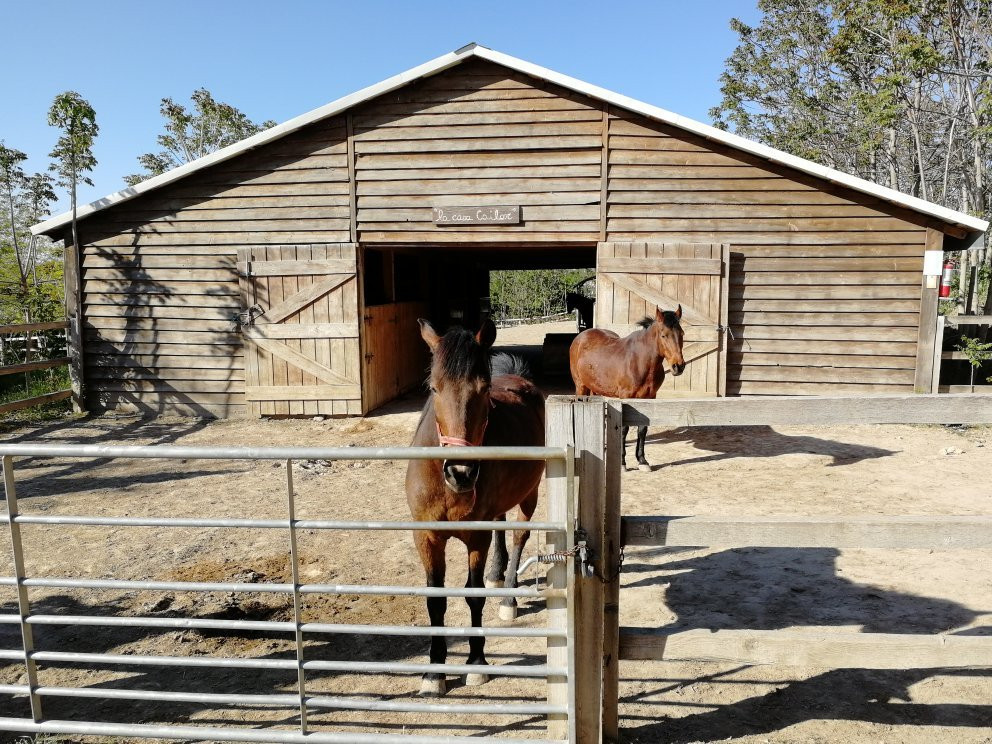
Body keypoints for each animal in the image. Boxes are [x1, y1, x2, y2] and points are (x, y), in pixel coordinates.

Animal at [404, 318, 548, 696]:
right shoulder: (427, 537)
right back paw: (499, 574)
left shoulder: (475, 539)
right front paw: (434, 672)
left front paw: (476, 662)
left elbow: (473, 595)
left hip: (530, 495)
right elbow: (435, 599)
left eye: (483, 390)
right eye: (433, 387)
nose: (461, 472)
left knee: (518, 538)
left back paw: (508, 596)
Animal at [568, 304, 684, 468]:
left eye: (682, 334)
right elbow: (624, 429)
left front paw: (642, 460)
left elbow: (642, 429)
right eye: (664, 335)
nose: (678, 366)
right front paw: (622, 462)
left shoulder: (650, 397)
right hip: (581, 386)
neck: (641, 361)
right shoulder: (625, 397)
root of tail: (581, 336)